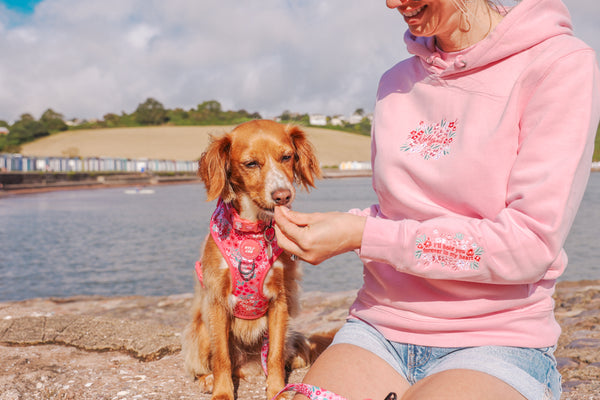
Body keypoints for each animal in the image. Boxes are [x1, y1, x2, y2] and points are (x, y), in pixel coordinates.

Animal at [182, 120, 322, 398]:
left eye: (287, 157)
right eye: (251, 164)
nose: (283, 195)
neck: (253, 232)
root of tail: (247, 367)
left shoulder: (280, 301)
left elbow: (275, 355)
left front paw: (277, 390)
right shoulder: (217, 301)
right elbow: (221, 357)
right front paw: (222, 393)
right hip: (201, 329)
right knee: (210, 362)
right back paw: (207, 379)